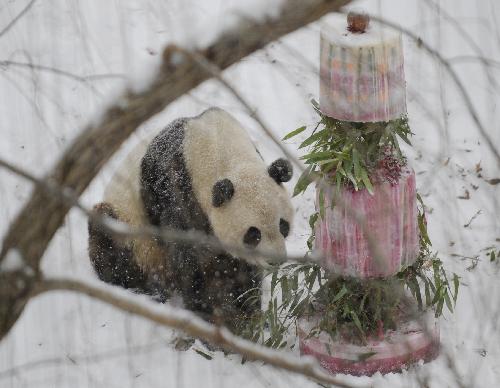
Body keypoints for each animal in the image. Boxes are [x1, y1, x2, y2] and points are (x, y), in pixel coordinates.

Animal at [89, 107, 292, 328]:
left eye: (283, 225)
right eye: (253, 234)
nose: (275, 260)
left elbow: (241, 268)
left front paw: (249, 314)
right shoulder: (175, 189)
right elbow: (189, 257)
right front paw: (209, 314)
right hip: (129, 226)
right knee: (111, 241)